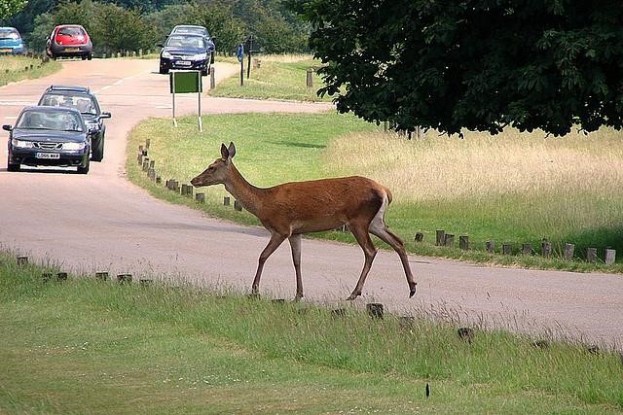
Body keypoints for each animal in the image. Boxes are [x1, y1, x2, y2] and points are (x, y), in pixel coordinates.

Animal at [190, 143, 414, 302]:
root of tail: (386, 191)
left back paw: (354, 293)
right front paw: (298, 295)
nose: (193, 180)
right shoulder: (296, 232)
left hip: (358, 220)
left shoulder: (281, 227)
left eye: (212, 167)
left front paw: (254, 291)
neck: (263, 203)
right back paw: (412, 287)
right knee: (398, 242)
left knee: (371, 250)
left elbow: (263, 256)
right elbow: (297, 260)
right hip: (376, 221)